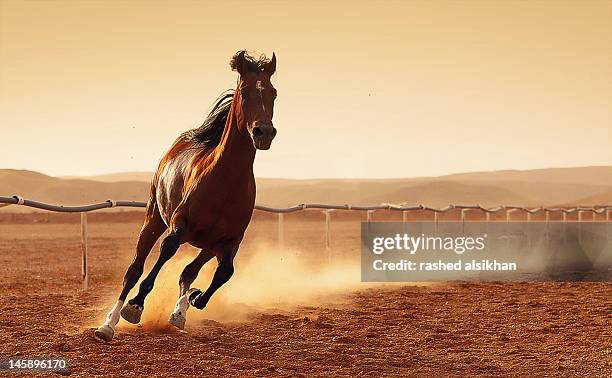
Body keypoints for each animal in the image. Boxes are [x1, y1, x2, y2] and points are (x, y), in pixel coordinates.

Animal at [95, 51, 278, 342]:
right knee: (134, 270)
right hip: (154, 219)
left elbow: (223, 273)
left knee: (188, 272)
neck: (225, 182)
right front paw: (135, 307)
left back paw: (180, 310)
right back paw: (108, 324)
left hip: (206, 244)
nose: (264, 132)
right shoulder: (179, 225)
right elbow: (165, 253)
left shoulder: (228, 241)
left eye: (273, 92)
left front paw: (192, 300)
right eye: (245, 92)